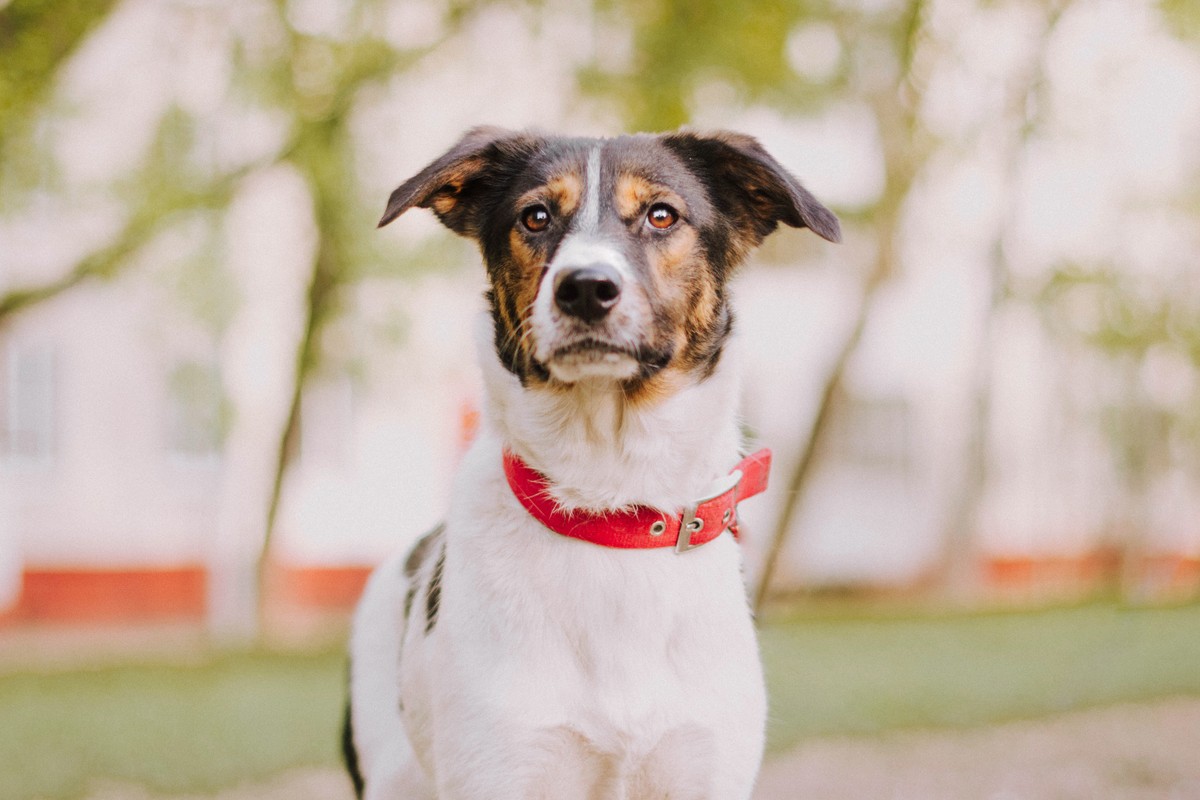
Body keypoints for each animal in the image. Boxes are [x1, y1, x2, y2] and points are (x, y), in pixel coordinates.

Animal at [343, 128, 840, 796]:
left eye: (662, 215)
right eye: (536, 217)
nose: (584, 287)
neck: (613, 508)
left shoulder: (704, 766)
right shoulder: (500, 766)